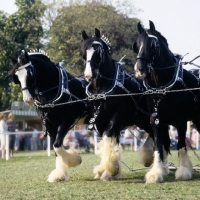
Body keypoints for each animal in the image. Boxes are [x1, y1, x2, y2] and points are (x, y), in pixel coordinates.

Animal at [80, 28, 171, 181]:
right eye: (83, 52)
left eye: (99, 51)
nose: (88, 75)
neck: (103, 87)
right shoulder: (101, 119)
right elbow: (109, 140)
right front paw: (111, 169)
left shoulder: (119, 116)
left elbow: (108, 135)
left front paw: (109, 169)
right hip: (144, 121)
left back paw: (161, 169)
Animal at [133, 20, 200, 183]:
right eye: (136, 45)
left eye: (153, 45)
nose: (140, 69)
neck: (162, 85)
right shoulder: (156, 120)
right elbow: (158, 145)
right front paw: (156, 173)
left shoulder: (181, 121)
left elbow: (181, 144)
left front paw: (183, 171)